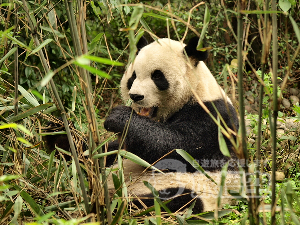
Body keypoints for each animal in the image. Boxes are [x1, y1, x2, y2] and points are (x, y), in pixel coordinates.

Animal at [104, 36, 240, 214]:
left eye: (157, 76)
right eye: (133, 76)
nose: (136, 96)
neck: (195, 91)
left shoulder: (213, 118)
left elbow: (175, 147)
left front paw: (119, 118)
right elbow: (116, 148)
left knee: (169, 200)